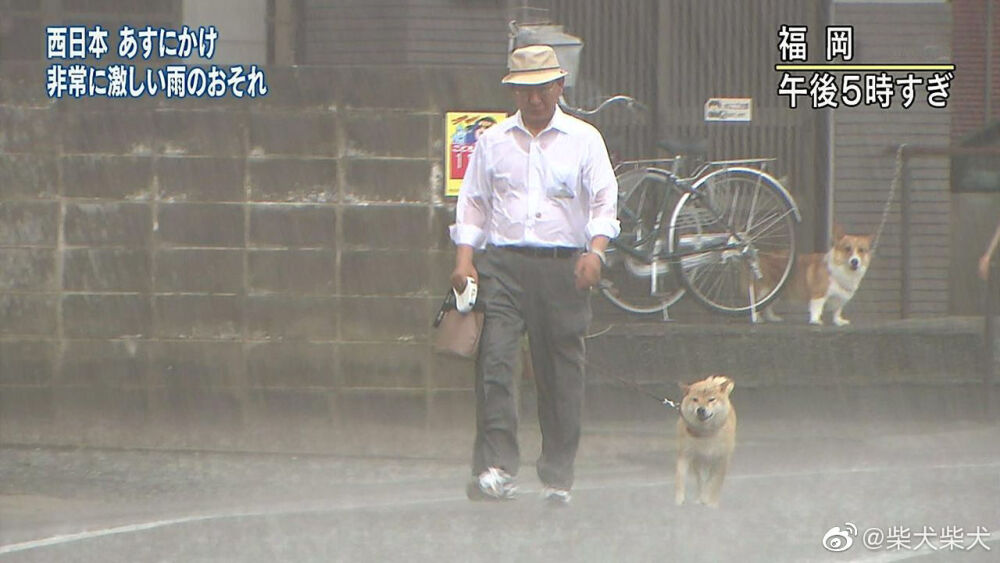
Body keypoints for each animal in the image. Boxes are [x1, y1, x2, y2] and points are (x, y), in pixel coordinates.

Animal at [672, 376, 736, 508]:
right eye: (695, 399)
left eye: (711, 399)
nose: (701, 409)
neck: (705, 433)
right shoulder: (686, 454)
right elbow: (681, 477)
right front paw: (679, 500)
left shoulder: (721, 459)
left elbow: (715, 483)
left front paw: (711, 502)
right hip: (698, 462)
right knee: (701, 481)